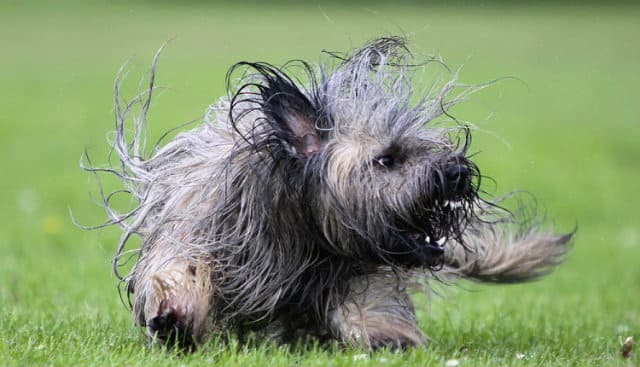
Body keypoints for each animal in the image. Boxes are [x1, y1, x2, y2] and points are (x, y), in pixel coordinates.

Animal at [87, 36, 572, 350]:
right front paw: (175, 317)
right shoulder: (202, 228)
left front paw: (387, 335)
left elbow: (368, 298)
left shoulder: (352, 264)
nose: (456, 171)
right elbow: (181, 268)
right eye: (387, 159)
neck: (299, 224)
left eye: (427, 148)